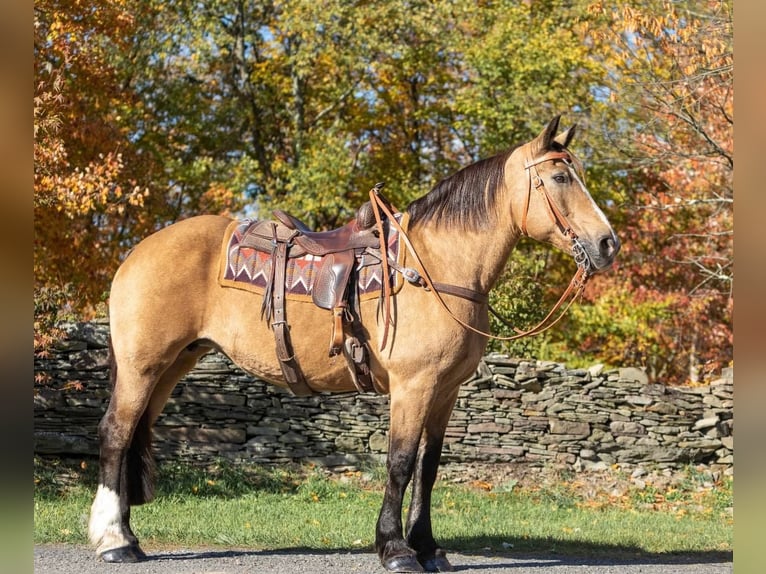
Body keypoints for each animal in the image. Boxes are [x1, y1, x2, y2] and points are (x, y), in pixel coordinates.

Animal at [87, 116, 620, 572]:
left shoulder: (445, 391)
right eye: (560, 177)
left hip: (172, 365)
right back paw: (114, 540)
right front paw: (396, 549)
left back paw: (128, 536)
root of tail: (138, 250)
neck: (433, 267)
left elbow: (429, 467)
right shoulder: (412, 386)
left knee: (133, 434)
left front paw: (428, 547)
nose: (607, 244)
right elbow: (400, 463)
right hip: (142, 365)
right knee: (116, 433)